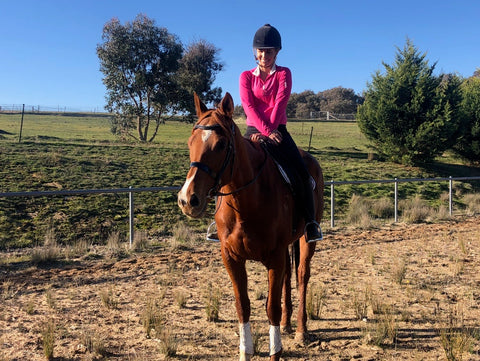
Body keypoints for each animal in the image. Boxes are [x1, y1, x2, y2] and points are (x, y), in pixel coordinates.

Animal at [178, 93, 324, 360]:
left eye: (221, 145)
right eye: (190, 142)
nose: (187, 199)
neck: (247, 201)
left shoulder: (274, 257)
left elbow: (271, 308)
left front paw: (276, 351)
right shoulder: (231, 258)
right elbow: (242, 306)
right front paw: (245, 351)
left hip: (306, 240)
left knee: (301, 275)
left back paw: (300, 329)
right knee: (289, 276)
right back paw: (287, 324)